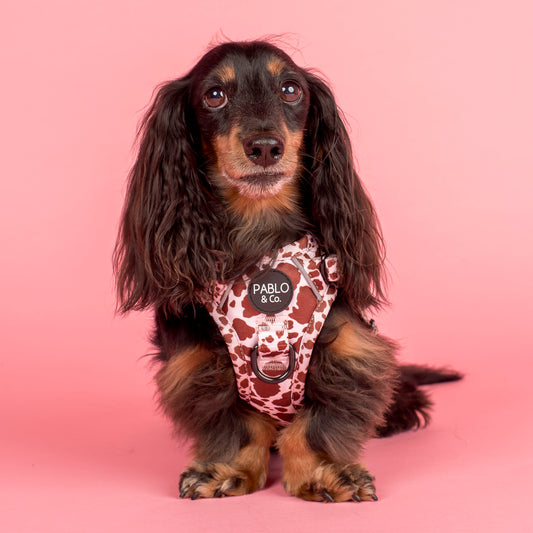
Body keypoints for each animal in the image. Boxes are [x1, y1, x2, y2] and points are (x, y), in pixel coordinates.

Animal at [113, 40, 461, 502]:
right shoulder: (197, 363)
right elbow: (240, 426)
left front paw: (324, 473)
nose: (265, 146)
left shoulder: (349, 351)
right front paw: (226, 469)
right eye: (214, 95)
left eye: (291, 89)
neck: (261, 235)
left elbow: (313, 427)